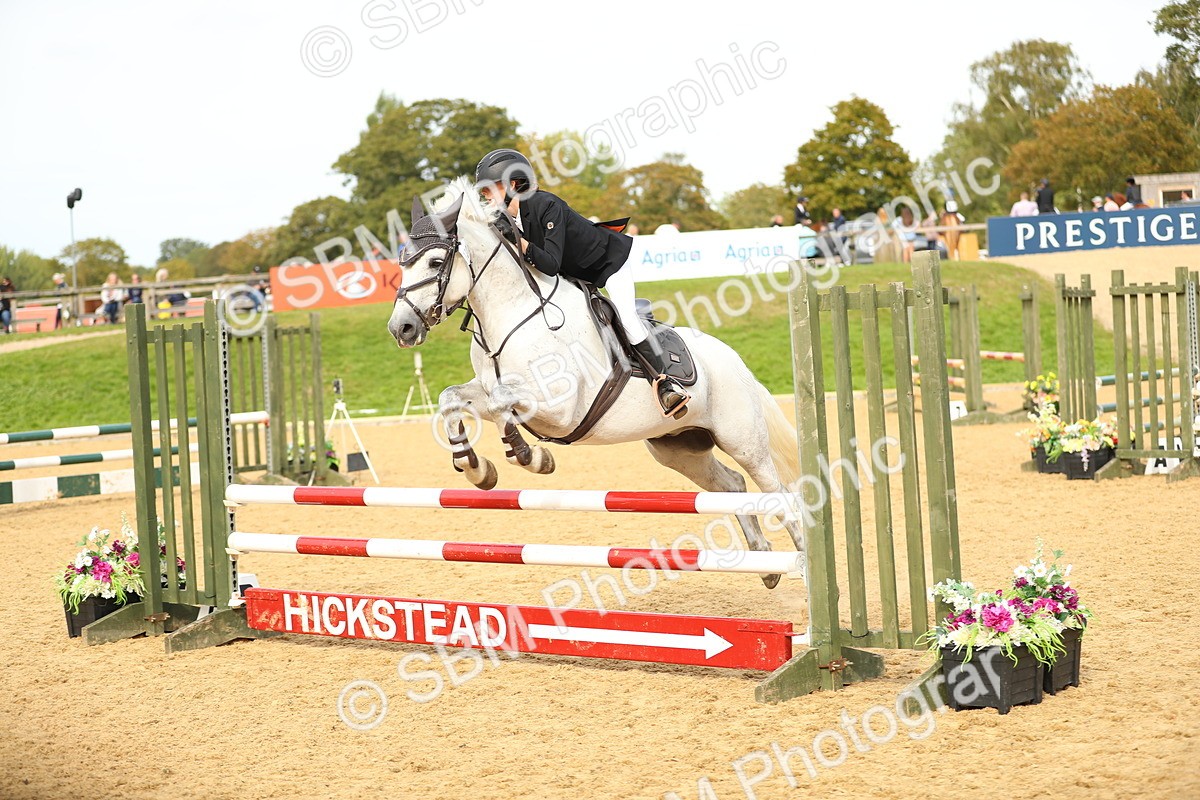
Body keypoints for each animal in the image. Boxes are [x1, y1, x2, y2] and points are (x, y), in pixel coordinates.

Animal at [387, 179, 805, 587]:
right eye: (401, 263)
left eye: (435, 262)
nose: (400, 329)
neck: (513, 313)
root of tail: (734, 360)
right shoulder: (488, 390)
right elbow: (452, 399)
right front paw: (475, 467)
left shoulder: (560, 407)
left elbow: (502, 402)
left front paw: (530, 456)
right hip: (677, 448)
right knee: (731, 486)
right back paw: (765, 564)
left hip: (743, 442)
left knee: (781, 496)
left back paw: (802, 564)